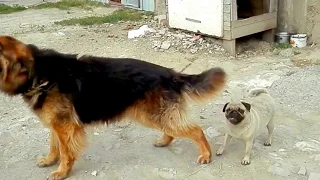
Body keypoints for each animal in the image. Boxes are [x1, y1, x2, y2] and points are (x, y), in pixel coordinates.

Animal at [0, 35, 225, 180]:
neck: (38, 73)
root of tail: (171, 73)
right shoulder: (57, 124)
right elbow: (54, 146)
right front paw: (49, 160)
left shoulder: (65, 126)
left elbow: (65, 151)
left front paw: (62, 171)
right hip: (154, 115)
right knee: (173, 129)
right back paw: (164, 141)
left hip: (156, 115)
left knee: (196, 130)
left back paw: (206, 154)